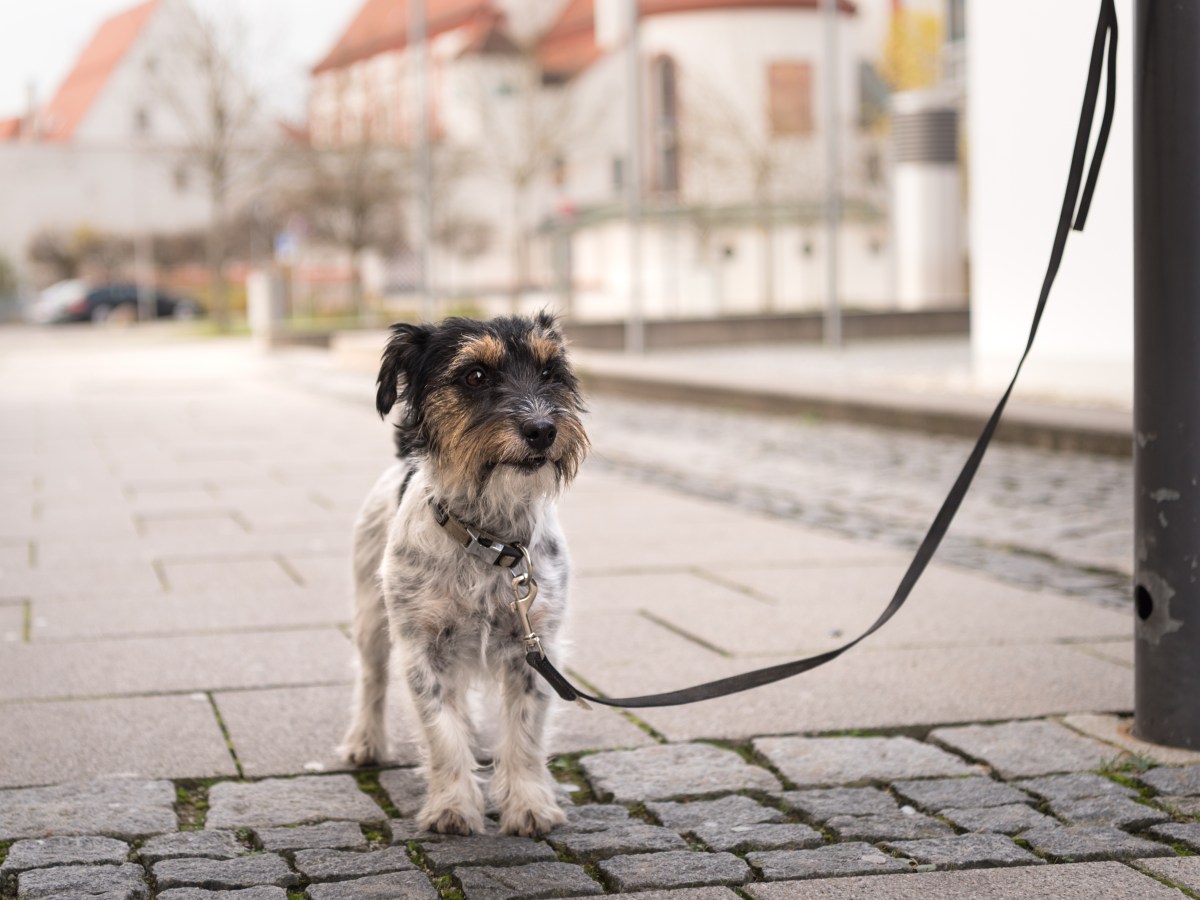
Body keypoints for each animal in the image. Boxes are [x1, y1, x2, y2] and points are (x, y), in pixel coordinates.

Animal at [340, 314, 588, 840]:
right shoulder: (421, 650)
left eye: (551, 372)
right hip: (370, 617)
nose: (543, 429)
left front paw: (529, 806)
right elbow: (441, 731)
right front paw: (452, 807)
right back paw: (365, 742)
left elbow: (525, 735)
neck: (488, 540)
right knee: (372, 679)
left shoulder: (536, 650)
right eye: (474, 375)